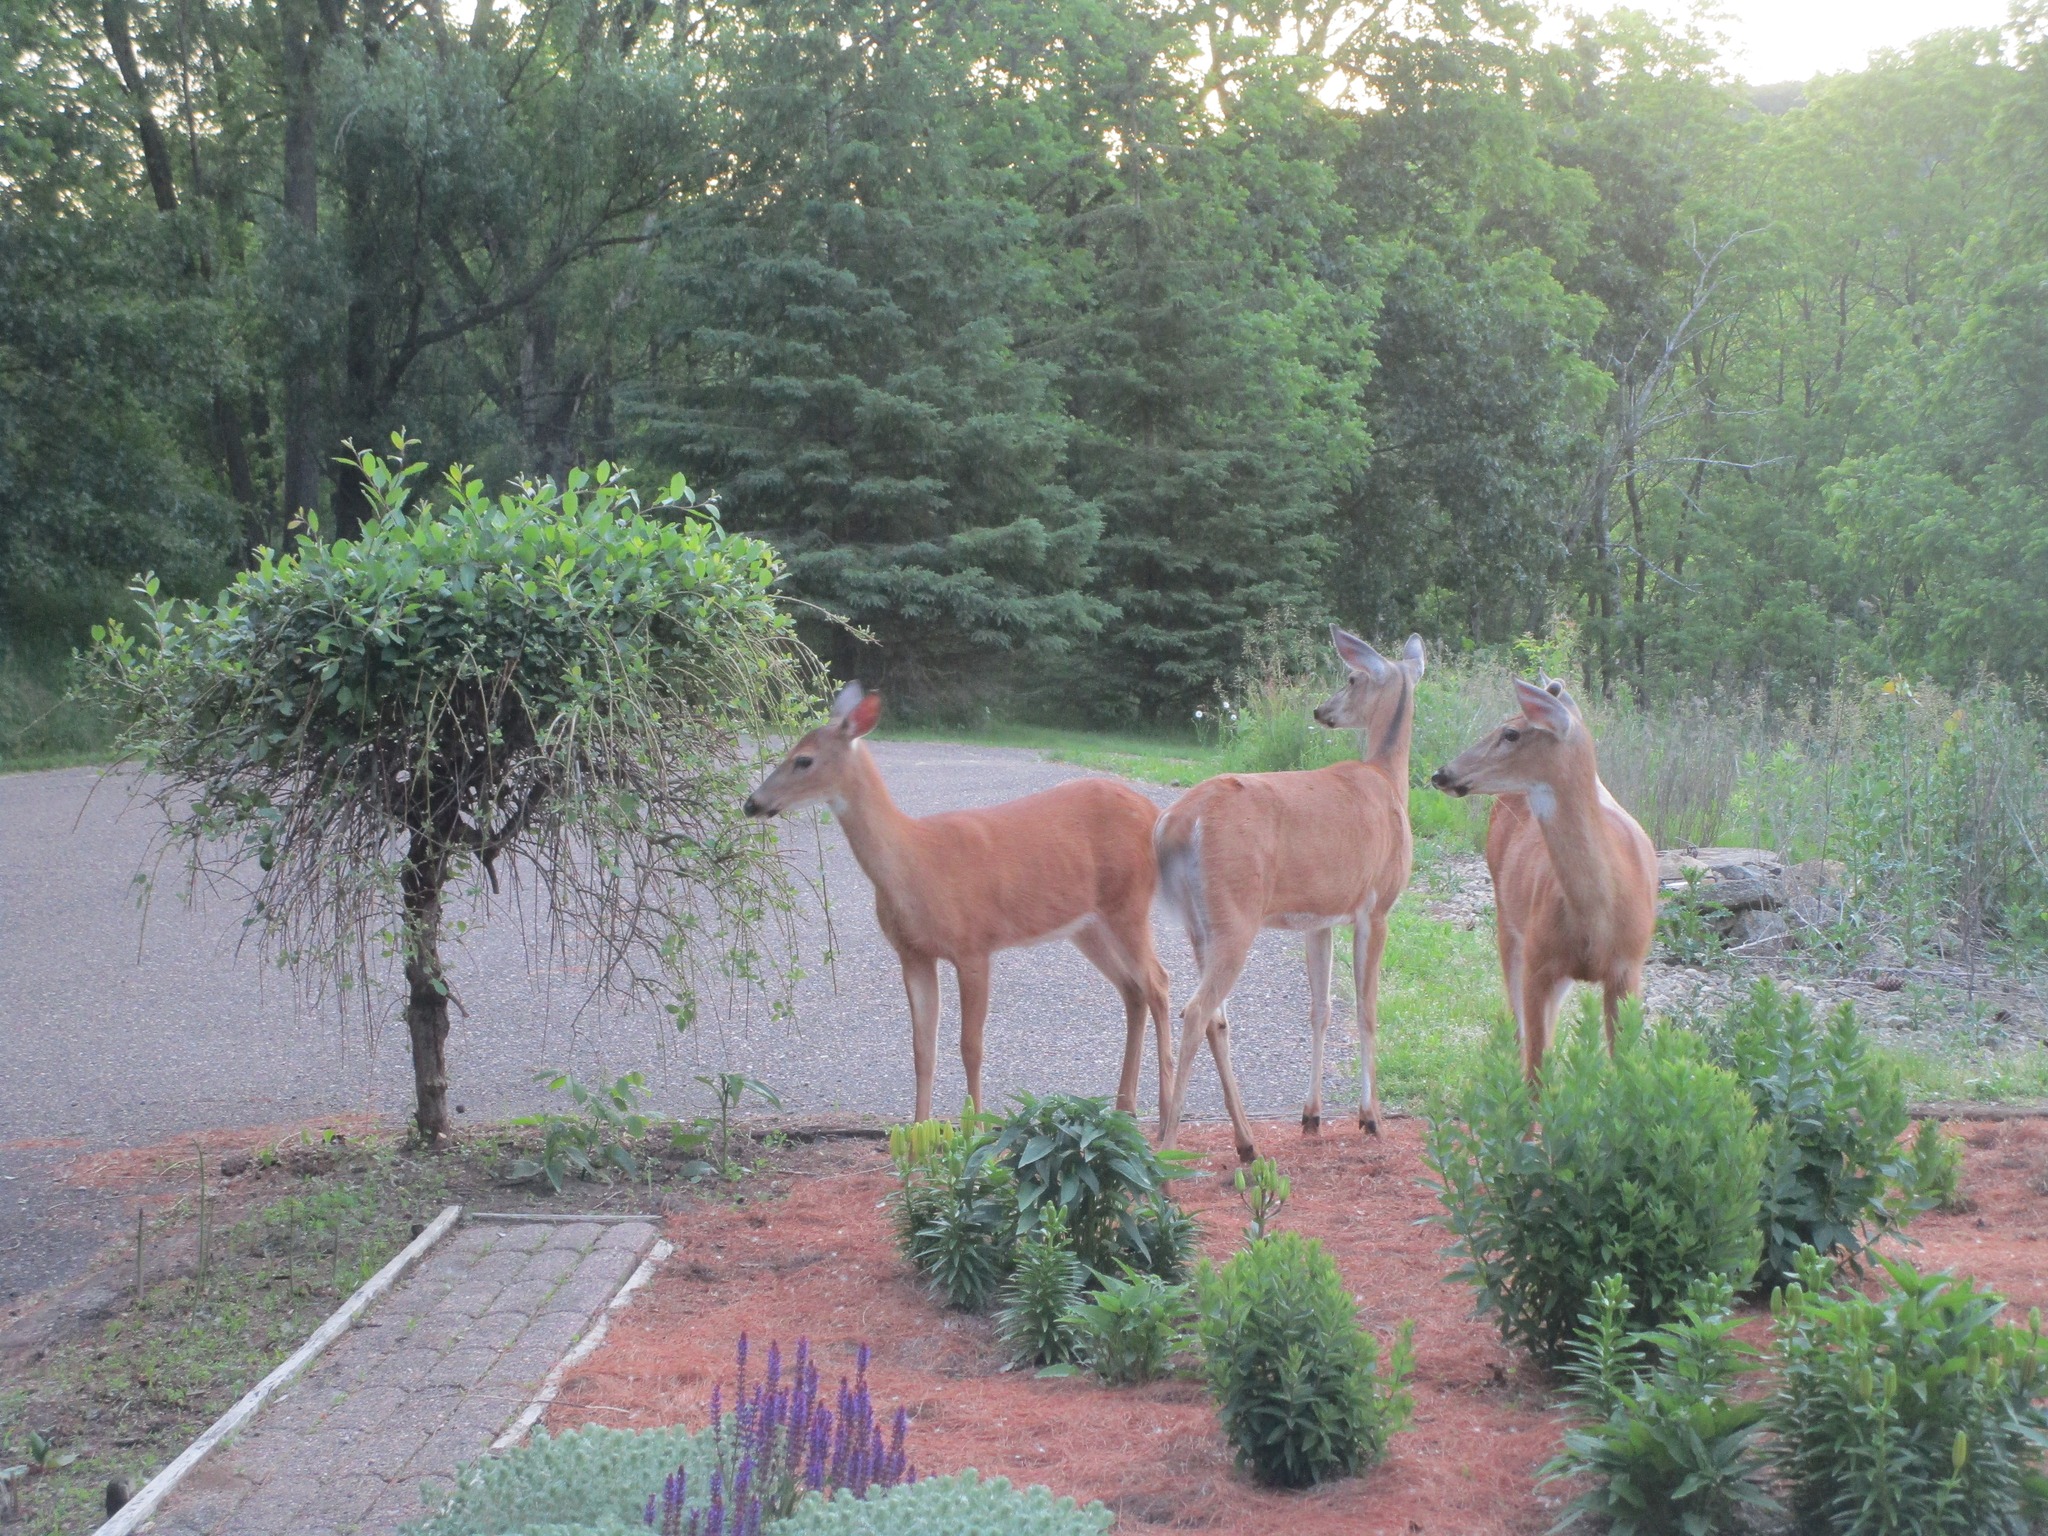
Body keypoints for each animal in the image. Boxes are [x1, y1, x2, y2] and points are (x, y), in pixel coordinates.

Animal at [742, 683, 1175, 1125]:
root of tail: (1155, 812)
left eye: (803, 759)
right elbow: (922, 1048)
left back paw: (1165, 1114)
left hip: (1129, 903)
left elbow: (971, 1046)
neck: (916, 865)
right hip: (1087, 925)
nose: (751, 803)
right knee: (1133, 990)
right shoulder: (912, 953)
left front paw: (977, 1127)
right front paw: (918, 1132)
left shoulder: (974, 944)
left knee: (1159, 983)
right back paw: (1124, 1107)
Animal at [1154, 628, 1425, 1163]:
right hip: (1236, 911)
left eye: (1350, 679)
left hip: (1199, 923)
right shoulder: (1377, 907)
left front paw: (1312, 1116)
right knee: (1195, 1010)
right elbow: (1366, 1011)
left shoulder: (1319, 919)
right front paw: (1371, 1118)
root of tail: (1176, 823)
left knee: (1216, 1019)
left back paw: (1247, 1143)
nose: (1322, 710)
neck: (1389, 781)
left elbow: (1321, 1010)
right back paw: (1170, 1147)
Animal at [1430, 676, 1658, 1082]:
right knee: (1519, 1024)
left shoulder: (1628, 968)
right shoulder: (1539, 961)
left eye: (1511, 733)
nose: (1441, 773)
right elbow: (1537, 1068)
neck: (1596, 914)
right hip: (1508, 921)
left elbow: (1621, 1062)